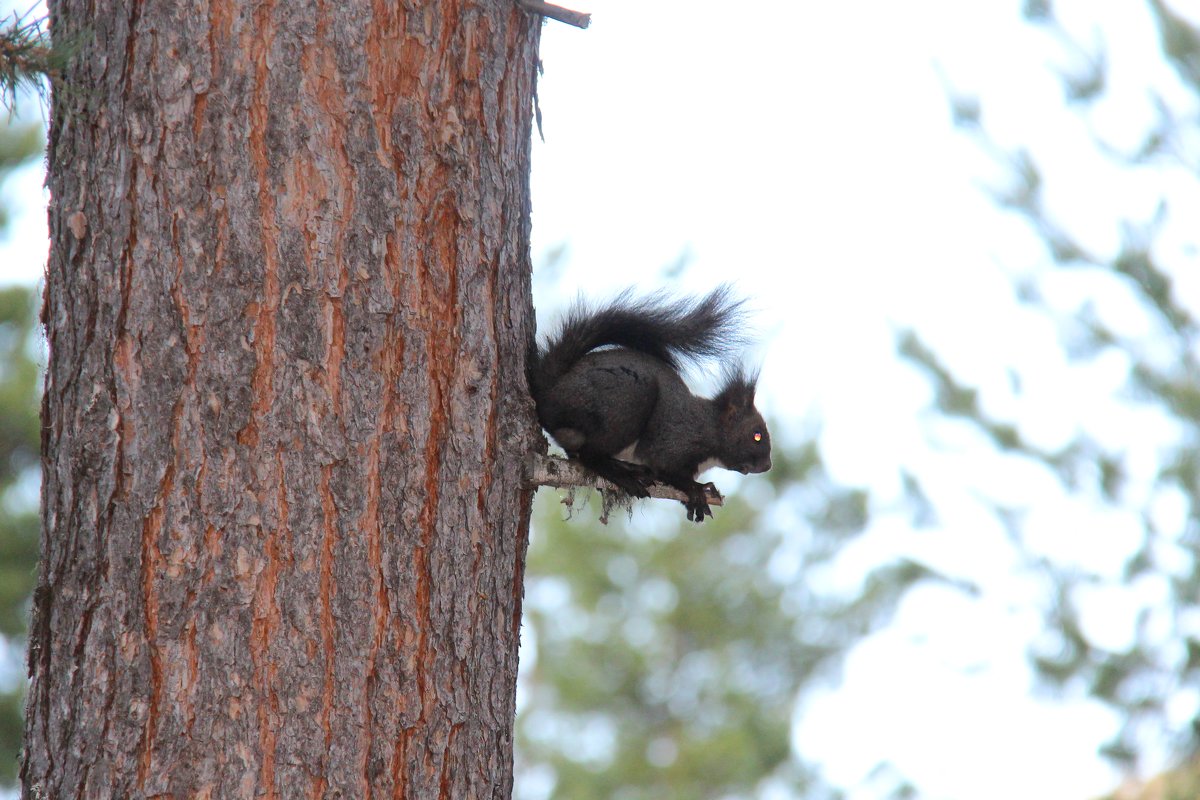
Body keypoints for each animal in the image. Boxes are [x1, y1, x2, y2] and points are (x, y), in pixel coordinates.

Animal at [530, 284, 772, 522]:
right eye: (757, 435)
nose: (768, 466)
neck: (709, 427)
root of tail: (550, 393)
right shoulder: (674, 440)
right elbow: (667, 468)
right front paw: (695, 490)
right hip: (628, 400)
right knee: (591, 455)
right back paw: (624, 474)